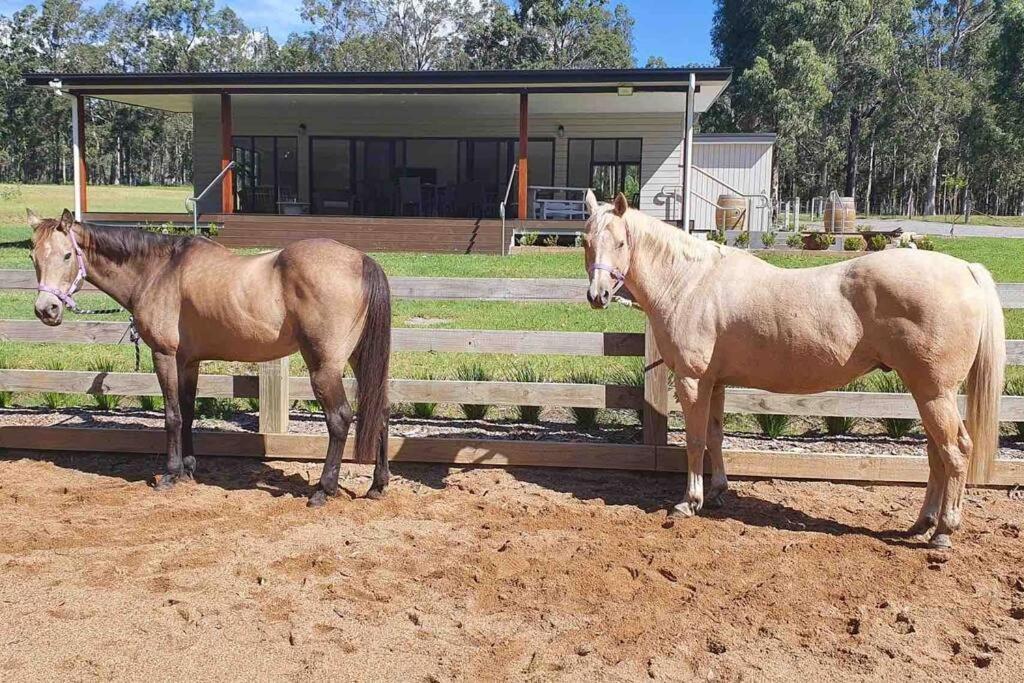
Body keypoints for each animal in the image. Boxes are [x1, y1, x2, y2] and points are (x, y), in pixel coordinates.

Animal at [29, 209, 391, 507]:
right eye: (33, 256)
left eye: (66, 255)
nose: (46, 310)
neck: (159, 270)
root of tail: (362, 260)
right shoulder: (189, 362)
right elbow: (188, 413)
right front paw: (189, 469)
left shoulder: (164, 355)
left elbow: (172, 416)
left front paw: (170, 474)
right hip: (359, 359)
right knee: (381, 412)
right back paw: (377, 485)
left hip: (324, 368)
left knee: (340, 419)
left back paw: (323, 490)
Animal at [581, 192, 1003, 548]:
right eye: (586, 241)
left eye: (620, 243)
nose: (597, 295)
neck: (690, 283)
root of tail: (966, 270)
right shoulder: (715, 383)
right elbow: (716, 438)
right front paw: (718, 492)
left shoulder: (692, 380)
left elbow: (696, 441)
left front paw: (690, 501)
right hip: (926, 392)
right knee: (937, 454)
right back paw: (922, 523)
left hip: (934, 393)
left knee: (955, 452)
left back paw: (944, 531)